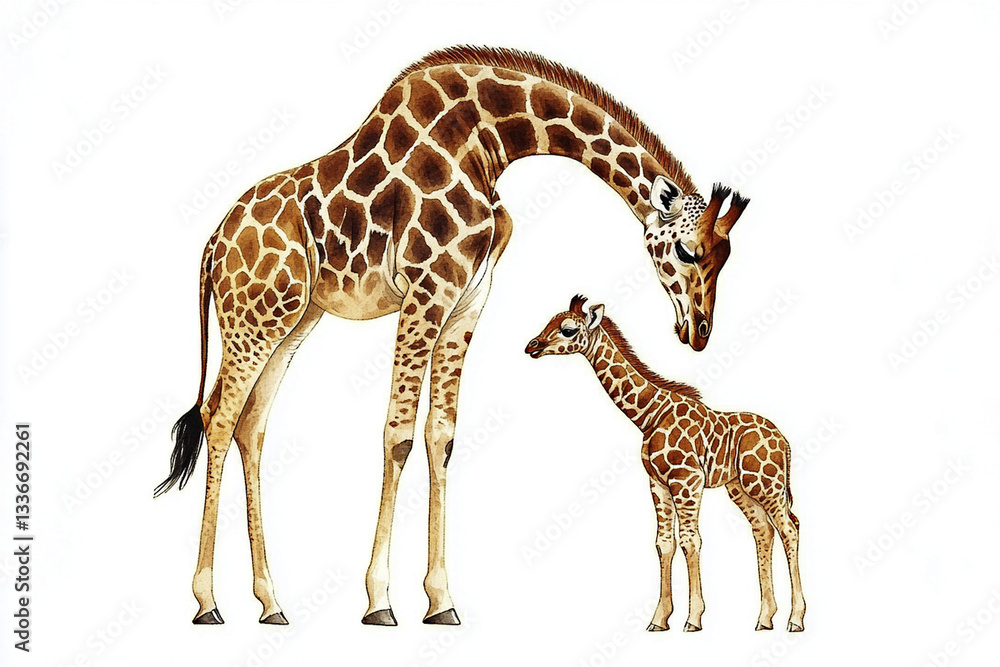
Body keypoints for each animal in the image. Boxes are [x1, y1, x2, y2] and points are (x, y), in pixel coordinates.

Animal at [154, 46, 751, 626]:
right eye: (688, 251)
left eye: (725, 258)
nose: (699, 332)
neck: (490, 141)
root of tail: (213, 242)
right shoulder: (426, 291)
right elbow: (397, 435)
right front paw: (380, 601)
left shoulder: (467, 301)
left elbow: (441, 437)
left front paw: (441, 601)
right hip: (254, 318)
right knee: (219, 417)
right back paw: (207, 602)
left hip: (293, 320)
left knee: (250, 424)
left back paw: (271, 602)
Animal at [526, 296, 805, 632]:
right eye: (549, 321)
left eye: (567, 329)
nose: (531, 346)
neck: (649, 415)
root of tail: (784, 441)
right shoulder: (658, 483)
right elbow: (664, 543)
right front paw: (659, 619)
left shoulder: (687, 480)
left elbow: (690, 541)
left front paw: (693, 619)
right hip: (740, 487)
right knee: (763, 529)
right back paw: (764, 618)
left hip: (766, 483)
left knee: (790, 528)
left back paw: (795, 619)